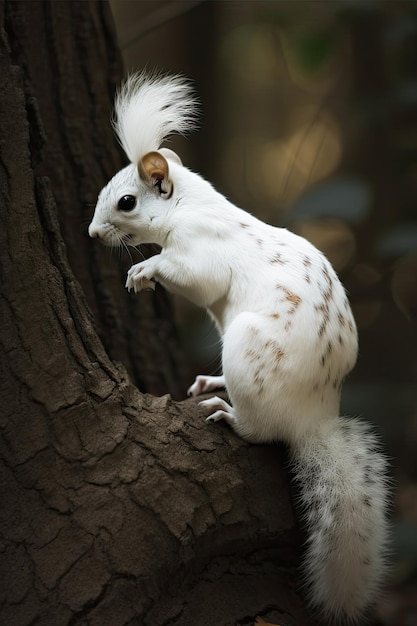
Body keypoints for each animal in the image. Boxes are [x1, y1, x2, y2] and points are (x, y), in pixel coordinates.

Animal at [88, 72, 390, 620]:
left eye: (126, 203)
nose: (92, 233)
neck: (189, 206)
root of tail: (312, 416)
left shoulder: (202, 248)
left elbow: (195, 277)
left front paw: (144, 271)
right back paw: (214, 381)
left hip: (250, 356)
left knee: (260, 432)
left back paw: (230, 414)